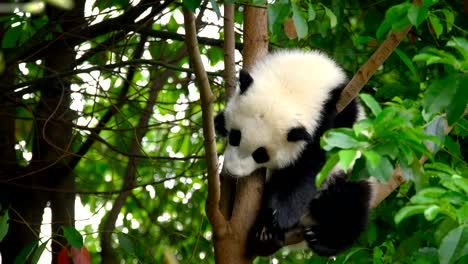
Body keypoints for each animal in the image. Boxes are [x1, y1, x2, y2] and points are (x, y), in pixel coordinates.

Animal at [215, 49, 372, 256]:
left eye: (261, 154)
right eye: (235, 136)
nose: (233, 171)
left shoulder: (335, 119)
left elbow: (304, 172)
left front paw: (276, 217)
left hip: (350, 172)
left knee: (349, 205)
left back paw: (317, 239)